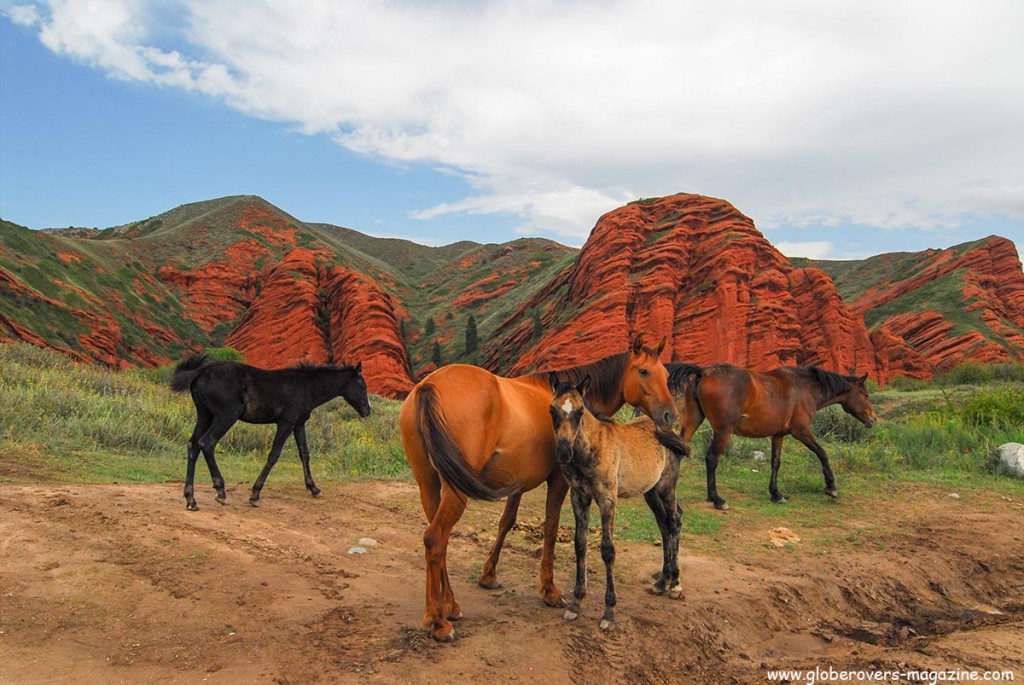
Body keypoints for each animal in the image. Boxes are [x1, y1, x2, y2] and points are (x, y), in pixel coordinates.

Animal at [171, 356, 372, 509]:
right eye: (363, 386)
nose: (367, 411)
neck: (306, 387)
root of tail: (201, 372)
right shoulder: (286, 422)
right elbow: (274, 455)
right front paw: (255, 495)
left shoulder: (299, 424)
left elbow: (304, 454)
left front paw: (314, 488)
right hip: (226, 415)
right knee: (207, 442)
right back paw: (220, 491)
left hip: (204, 414)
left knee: (193, 444)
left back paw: (191, 499)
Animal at [548, 374, 684, 630]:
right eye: (552, 410)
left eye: (580, 411)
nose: (562, 452)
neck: (591, 447)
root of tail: (668, 430)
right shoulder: (579, 497)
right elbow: (580, 545)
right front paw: (576, 603)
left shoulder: (607, 499)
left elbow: (608, 550)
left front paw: (609, 611)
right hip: (650, 491)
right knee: (663, 524)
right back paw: (662, 582)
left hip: (667, 487)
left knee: (674, 521)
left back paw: (676, 584)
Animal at [667, 362, 876, 507]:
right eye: (865, 395)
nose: (873, 420)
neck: (805, 388)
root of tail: (702, 372)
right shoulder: (801, 431)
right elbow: (822, 453)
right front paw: (831, 487)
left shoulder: (778, 435)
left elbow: (775, 462)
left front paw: (776, 494)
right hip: (723, 431)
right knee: (711, 459)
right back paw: (717, 499)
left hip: (693, 421)